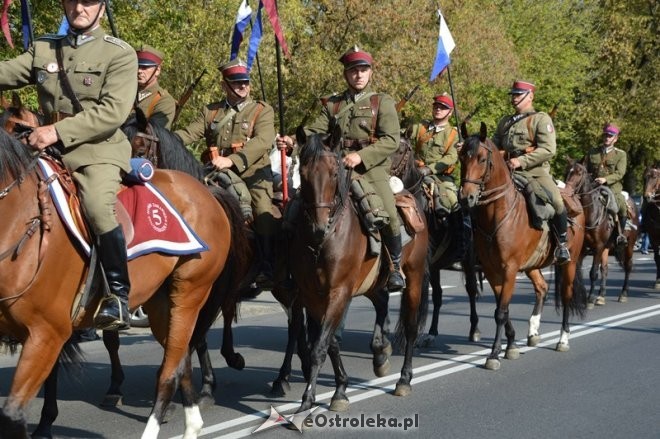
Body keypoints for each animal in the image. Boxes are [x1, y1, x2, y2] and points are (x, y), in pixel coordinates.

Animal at [0, 128, 248, 439]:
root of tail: (206, 191)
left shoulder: (47, 332)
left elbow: (13, 414)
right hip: (161, 304)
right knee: (180, 361)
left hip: (190, 294)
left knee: (170, 372)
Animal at [292, 128, 430, 412]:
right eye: (303, 172)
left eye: (334, 173)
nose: (318, 227)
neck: (325, 239)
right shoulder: (312, 296)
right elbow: (330, 342)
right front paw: (340, 390)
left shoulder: (339, 292)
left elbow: (320, 346)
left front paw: (308, 401)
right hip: (370, 281)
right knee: (382, 301)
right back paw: (380, 352)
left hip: (414, 277)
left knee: (411, 327)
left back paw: (404, 379)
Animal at [390, 138, 482, 344]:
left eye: (400, 150)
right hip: (436, 265)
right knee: (439, 295)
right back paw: (432, 331)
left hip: (468, 258)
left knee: (471, 289)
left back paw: (474, 330)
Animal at [458, 123, 588, 372]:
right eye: (461, 157)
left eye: (481, 159)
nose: (465, 198)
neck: (497, 214)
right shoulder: (492, 271)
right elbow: (502, 308)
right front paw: (510, 346)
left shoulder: (509, 269)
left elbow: (501, 311)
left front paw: (494, 355)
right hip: (532, 266)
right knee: (542, 288)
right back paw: (533, 331)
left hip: (570, 263)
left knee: (566, 296)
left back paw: (562, 339)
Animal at [564, 159, 640, 306]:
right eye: (568, 171)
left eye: (579, 173)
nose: (566, 192)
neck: (591, 214)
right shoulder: (583, 249)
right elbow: (578, 272)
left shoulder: (598, 247)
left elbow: (593, 273)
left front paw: (589, 299)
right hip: (607, 247)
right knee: (605, 269)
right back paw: (601, 296)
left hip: (629, 244)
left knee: (628, 266)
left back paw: (623, 294)